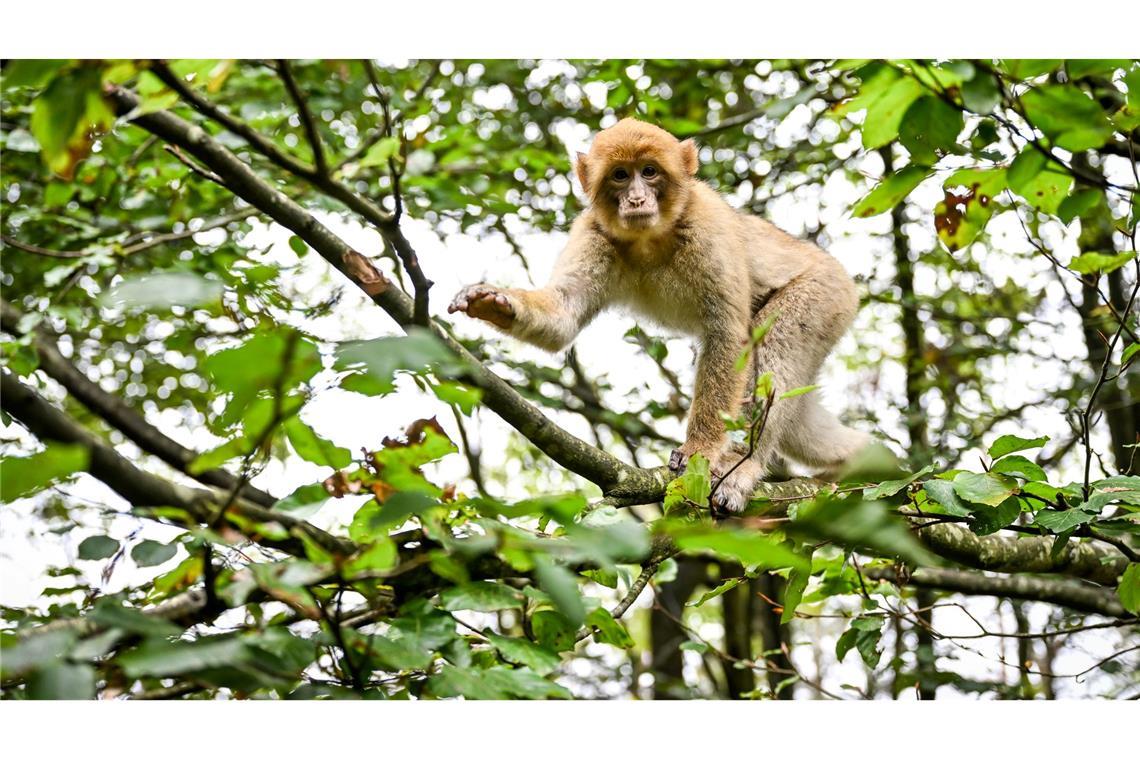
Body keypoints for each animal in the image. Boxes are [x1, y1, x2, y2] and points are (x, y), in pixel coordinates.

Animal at [449, 117, 866, 510]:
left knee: (774, 351)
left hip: (824, 296)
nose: (636, 199)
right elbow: (563, 315)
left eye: (649, 171)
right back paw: (859, 458)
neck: (650, 237)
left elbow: (729, 336)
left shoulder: (707, 227)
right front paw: (494, 302)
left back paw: (744, 466)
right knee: (796, 416)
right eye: (620, 175)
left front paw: (700, 450)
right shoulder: (593, 232)